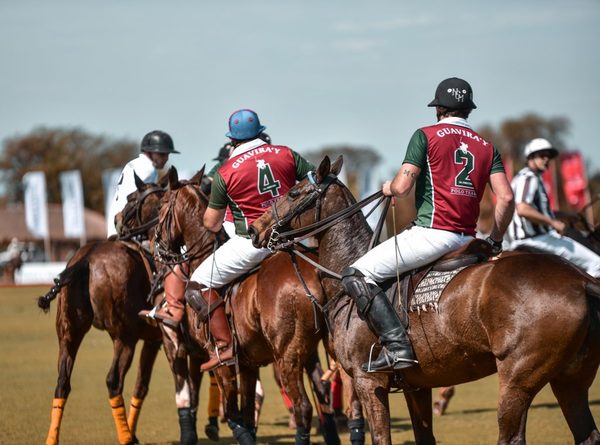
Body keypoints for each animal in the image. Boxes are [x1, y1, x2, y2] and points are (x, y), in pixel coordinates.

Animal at [152, 168, 344, 442]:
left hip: (287, 355)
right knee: (324, 398)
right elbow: (247, 413)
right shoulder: (248, 363)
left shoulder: (220, 363)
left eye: (161, 206)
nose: (159, 250)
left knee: (304, 407)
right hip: (316, 349)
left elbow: (234, 413)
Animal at [250, 154, 600, 442]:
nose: (255, 229)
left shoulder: (368, 382)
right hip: (571, 381)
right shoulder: (417, 385)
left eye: (294, 193)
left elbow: (382, 438)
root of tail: (582, 281)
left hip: (518, 378)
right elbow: (424, 436)